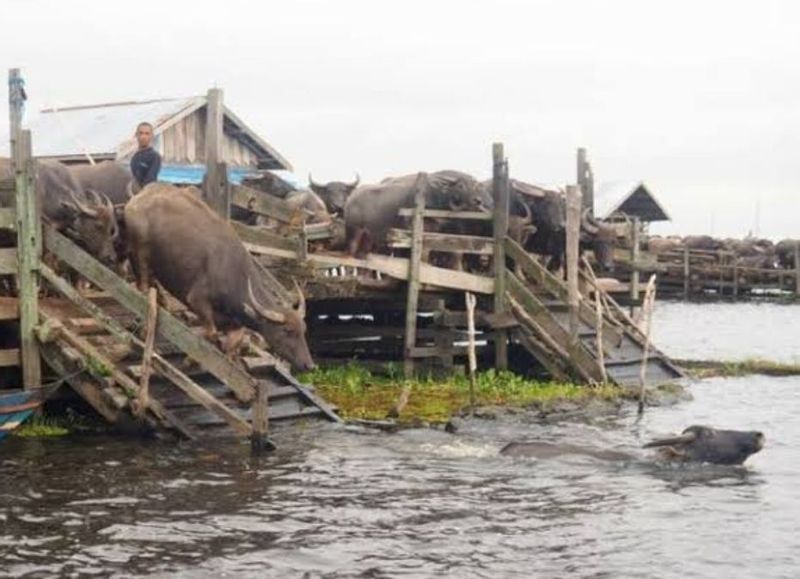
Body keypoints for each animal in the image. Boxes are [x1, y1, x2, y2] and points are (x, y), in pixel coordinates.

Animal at [123, 182, 314, 372]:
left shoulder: (234, 325)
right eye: (287, 330)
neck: (233, 276)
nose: (309, 365)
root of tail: (138, 198)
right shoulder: (197, 300)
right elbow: (211, 333)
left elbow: (231, 344)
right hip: (141, 252)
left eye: (304, 330)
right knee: (143, 287)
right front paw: (189, 359)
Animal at [342, 169, 490, 258]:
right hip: (354, 231)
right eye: (461, 186)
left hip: (369, 237)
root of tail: (350, 200)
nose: (478, 201)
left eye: (474, 186)